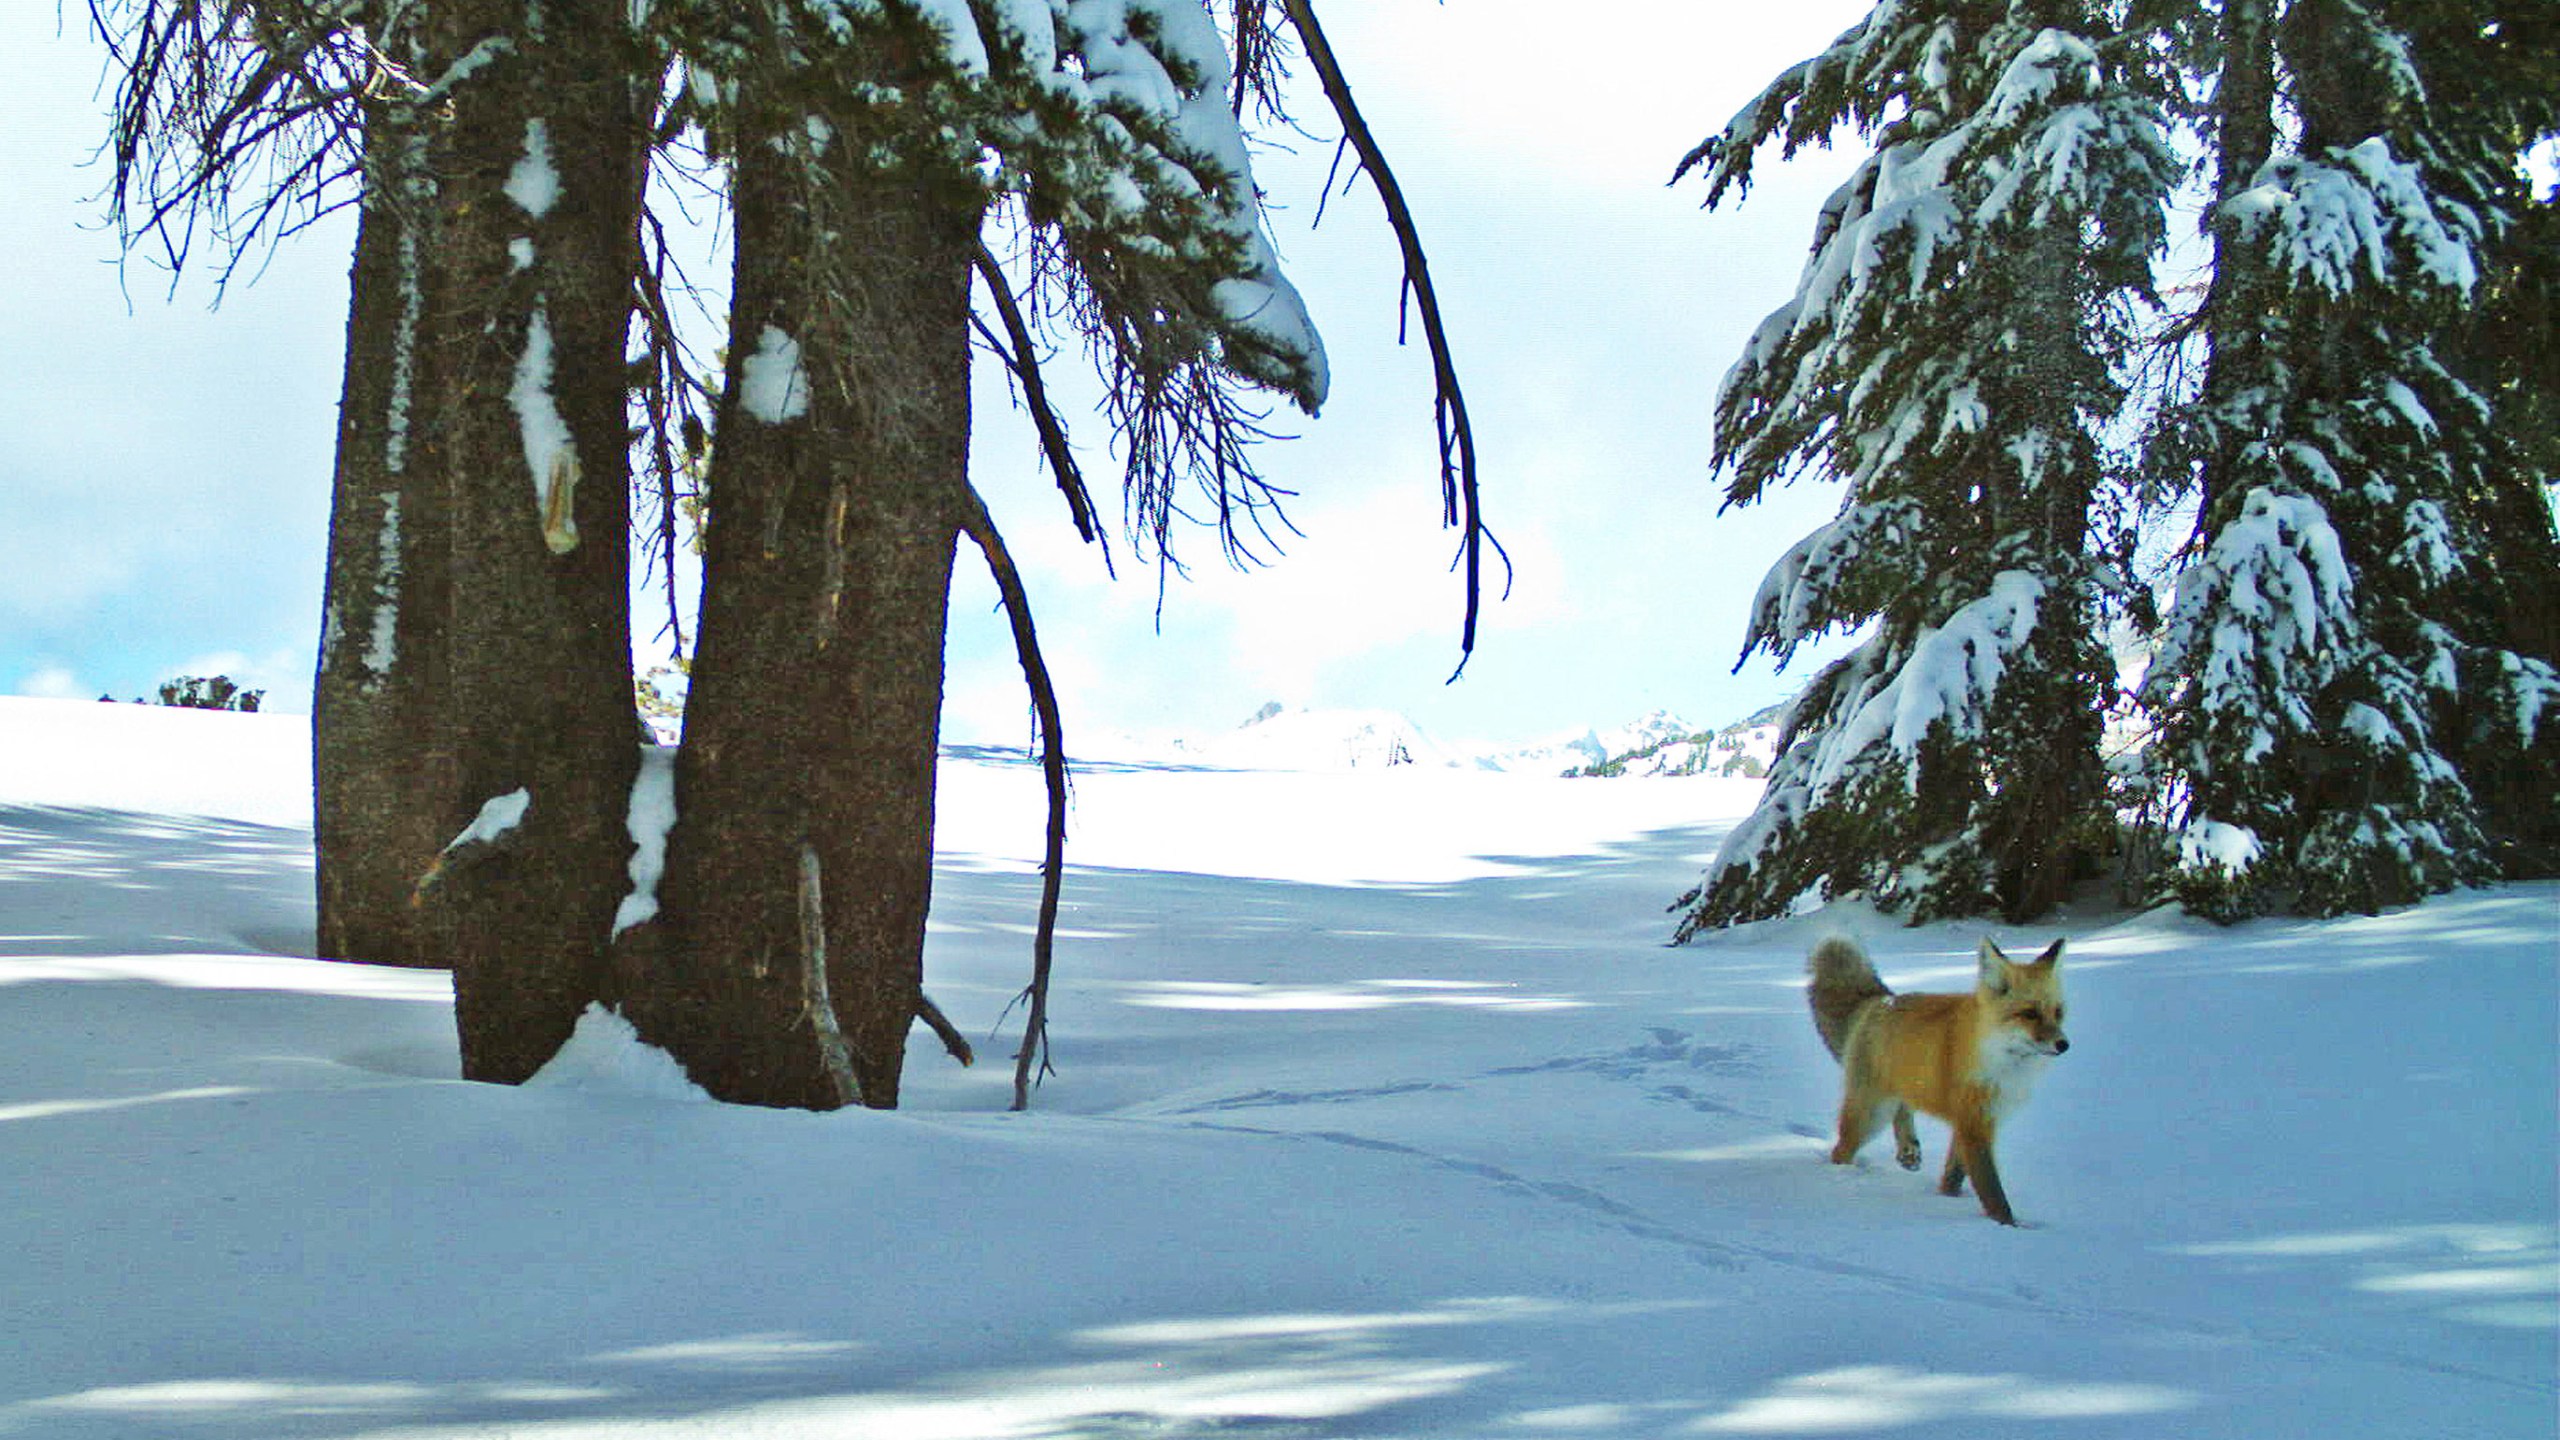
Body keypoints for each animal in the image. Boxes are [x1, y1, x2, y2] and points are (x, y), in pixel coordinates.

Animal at [1812, 932, 2068, 1219]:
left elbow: (1954, 1176)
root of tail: (1879, 1001)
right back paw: (1843, 1178)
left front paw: (1947, 1199)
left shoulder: (1976, 1119)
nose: (2064, 1044)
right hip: (1871, 1114)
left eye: (2058, 1012)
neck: (2001, 1063)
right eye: (2030, 1014)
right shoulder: (1973, 1124)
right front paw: (2006, 1224)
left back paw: (1908, 1150)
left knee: (1903, 1108)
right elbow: (1993, 1193)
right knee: (1841, 1149)